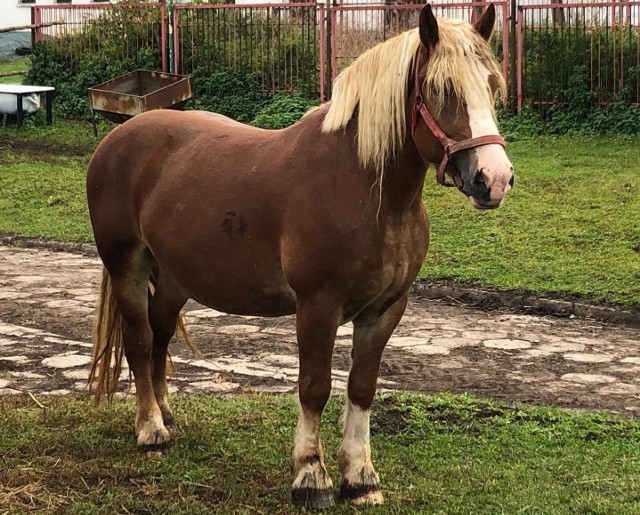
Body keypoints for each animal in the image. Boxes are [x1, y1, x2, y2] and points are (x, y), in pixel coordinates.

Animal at [86, 4, 516, 510]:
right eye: (441, 90)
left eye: (492, 85)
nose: (494, 178)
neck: (365, 189)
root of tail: (118, 138)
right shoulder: (317, 307)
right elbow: (314, 388)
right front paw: (312, 477)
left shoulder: (386, 309)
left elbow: (362, 387)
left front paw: (361, 478)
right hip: (126, 265)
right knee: (138, 340)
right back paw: (151, 431)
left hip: (174, 277)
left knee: (159, 336)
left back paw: (166, 414)